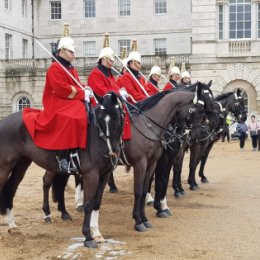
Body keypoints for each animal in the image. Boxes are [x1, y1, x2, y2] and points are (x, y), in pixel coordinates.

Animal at [0, 92, 125, 248]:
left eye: (117, 116)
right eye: (101, 118)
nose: (113, 150)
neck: (96, 137)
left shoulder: (104, 174)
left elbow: (96, 202)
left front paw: (96, 233)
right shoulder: (91, 175)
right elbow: (88, 204)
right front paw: (87, 236)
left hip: (21, 164)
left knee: (10, 190)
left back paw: (12, 225)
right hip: (4, 167)